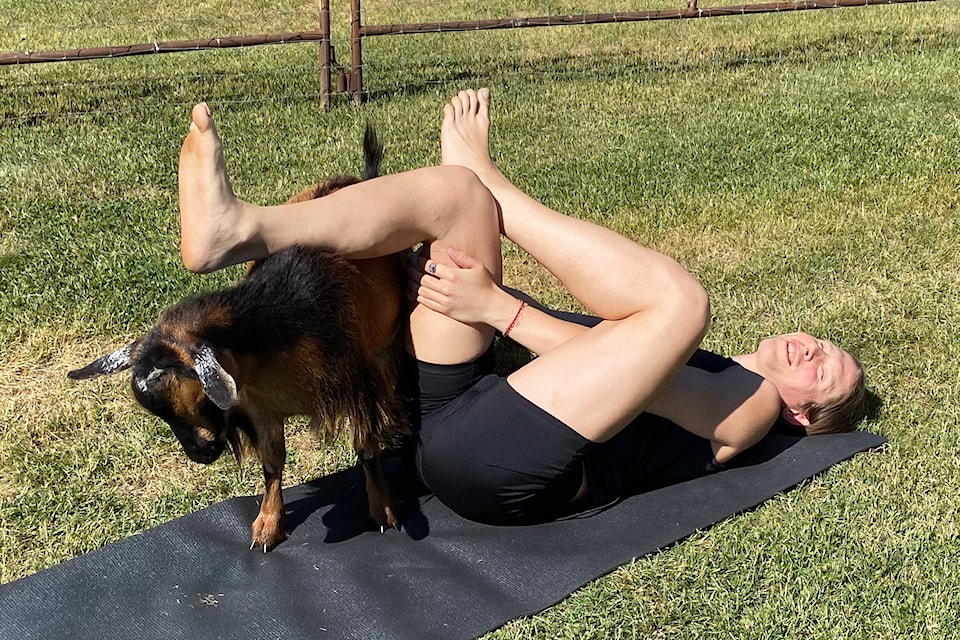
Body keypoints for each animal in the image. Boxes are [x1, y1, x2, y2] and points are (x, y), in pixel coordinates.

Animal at [70, 127, 408, 552]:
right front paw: (267, 524)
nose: (200, 454)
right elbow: (272, 465)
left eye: (201, 397)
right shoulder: (260, 409)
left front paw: (383, 511)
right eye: (159, 415)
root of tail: (362, 179)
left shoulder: (359, 386)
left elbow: (365, 449)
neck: (281, 320)